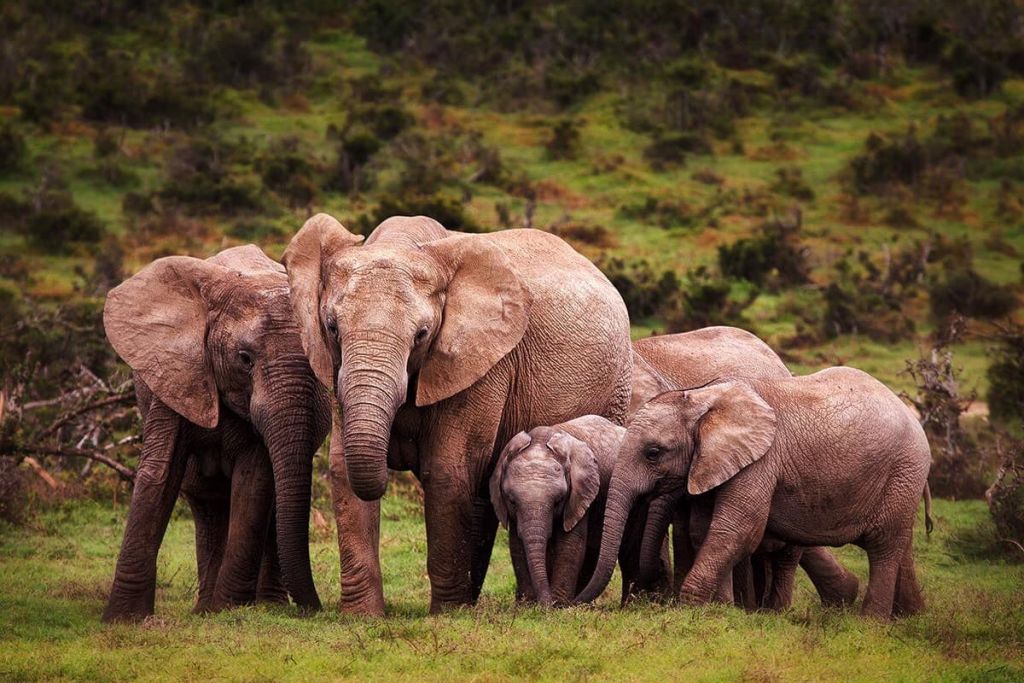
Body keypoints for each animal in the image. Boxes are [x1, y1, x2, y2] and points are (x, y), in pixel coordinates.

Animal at [101, 245, 329, 626]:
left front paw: (228, 609)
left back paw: (258, 606)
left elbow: (254, 482)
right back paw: (205, 609)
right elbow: (159, 475)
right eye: (245, 359)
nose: (319, 609)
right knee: (207, 507)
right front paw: (122, 619)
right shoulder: (178, 375)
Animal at [489, 413, 630, 606]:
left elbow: (570, 545)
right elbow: (517, 546)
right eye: (512, 501)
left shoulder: (580, 496)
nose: (544, 605)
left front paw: (558, 604)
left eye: (558, 501)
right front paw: (527, 604)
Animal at [581, 368, 933, 618]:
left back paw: (871, 623)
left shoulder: (761, 460)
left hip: (904, 469)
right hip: (904, 480)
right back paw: (910, 617)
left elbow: (736, 529)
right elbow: (704, 530)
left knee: (883, 546)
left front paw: (690, 606)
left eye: (653, 453)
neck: (704, 398)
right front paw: (720, 609)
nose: (576, 604)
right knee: (899, 545)